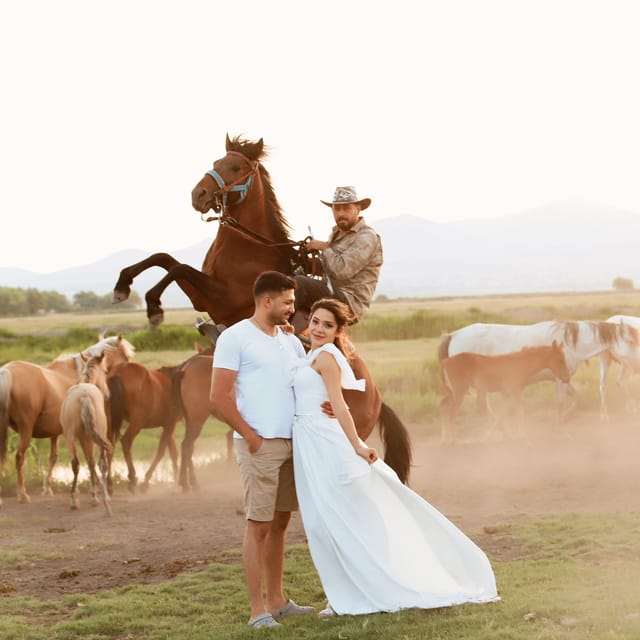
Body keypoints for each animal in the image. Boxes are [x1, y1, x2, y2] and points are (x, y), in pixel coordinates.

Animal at [0, 336, 135, 504]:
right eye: (127, 358)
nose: (108, 394)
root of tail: (6, 372)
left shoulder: (56, 432)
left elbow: (53, 458)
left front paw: (47, 488)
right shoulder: (83, 433)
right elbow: (88, 458)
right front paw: (95, 486)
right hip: (26, 430)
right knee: (19, 457)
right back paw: (23, 494)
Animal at [114, 136, 416, 484]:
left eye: (236, 167)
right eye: (216, 161)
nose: (198, 194)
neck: (250, 248)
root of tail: (378, 399)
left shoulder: (223, 298)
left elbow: (177, 268)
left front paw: (153, 306)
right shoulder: (205, 297)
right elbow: (164, 258)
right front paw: (123, 285)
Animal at [438, 320, 640, 420]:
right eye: (632, 341)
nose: (636, 364)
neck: (568, 343)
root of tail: (454, 334)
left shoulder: (563, 378)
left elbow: (577, 398)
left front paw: (567, 417)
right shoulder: (560, 380)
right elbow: (559, 403)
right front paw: (560, 422)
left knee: (482, 406)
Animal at [440, 342, 568, 442]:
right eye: (560, 360)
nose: (567, 378)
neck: (521, 364)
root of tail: (446, 361)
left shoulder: (506, 394)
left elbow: (501, 414)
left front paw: (493, 436)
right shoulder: (515, 392)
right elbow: (519, 412)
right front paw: (524, 438)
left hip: (452, 392)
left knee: (444, 408)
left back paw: (445, 441)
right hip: (459, 392)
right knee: (451, 413)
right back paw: (454, 441)